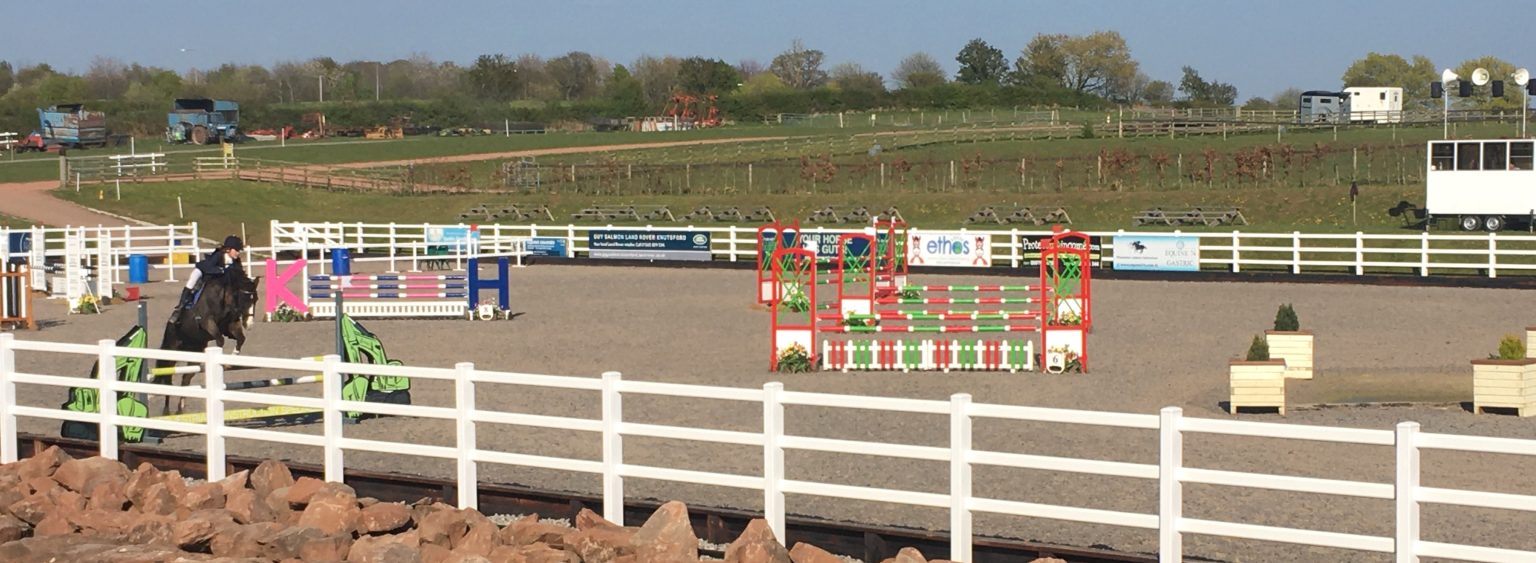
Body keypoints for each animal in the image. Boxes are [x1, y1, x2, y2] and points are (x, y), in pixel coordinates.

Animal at [152, 271, 261, 417]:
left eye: (256, 299)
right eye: (243, 299)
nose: (249, 325)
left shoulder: (230, 326)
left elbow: (240, 339)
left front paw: (231, 360)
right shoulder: (207, 323)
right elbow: (220, 340)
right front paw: (222, 362)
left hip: (195, 353)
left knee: (186, 379)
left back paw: (180, 409)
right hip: (172, 350)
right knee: (167, 378)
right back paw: (166, 411)